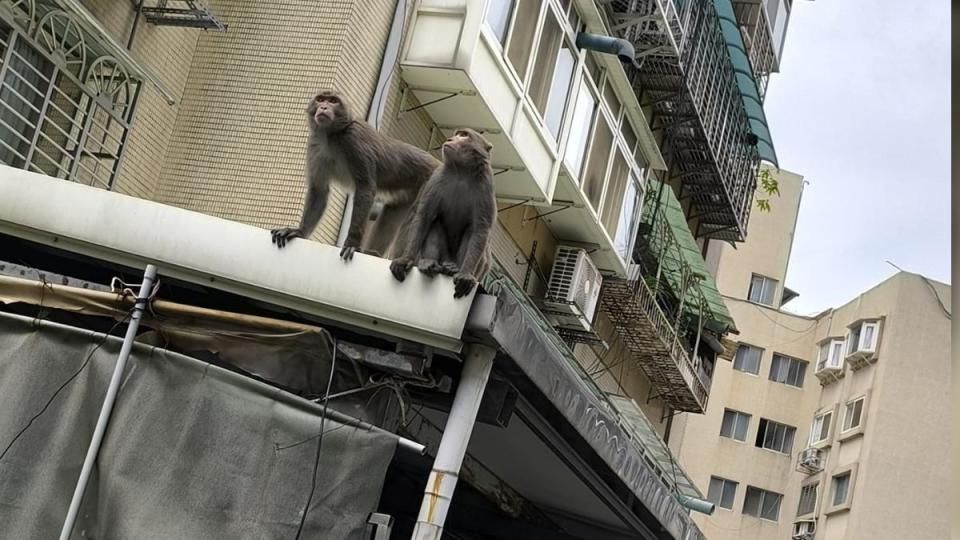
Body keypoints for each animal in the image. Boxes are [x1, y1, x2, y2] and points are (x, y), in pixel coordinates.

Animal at [268, 90, 436, 260]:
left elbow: (365, 188)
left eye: (333, 101)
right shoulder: (315, 144)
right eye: (321, 99)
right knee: (392, 214)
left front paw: (352, 243)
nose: (323, 107)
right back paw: (373, 253)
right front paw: (299, 231)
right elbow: (319, 190)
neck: (332, 135)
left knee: (418, 211)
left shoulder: (354, 140)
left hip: (431, 178)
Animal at [390, 127, 496, 300]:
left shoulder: (486, 184)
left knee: (471, 231)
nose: (450, 139)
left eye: (464, 135)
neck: (461, 172)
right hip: (443, 255)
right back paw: (430, 263)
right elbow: (424, 216)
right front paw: (405, 259)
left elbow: (480, 229)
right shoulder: (437, 177)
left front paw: (465, 274)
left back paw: (454, 268)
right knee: (435, 222)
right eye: (457, 134)